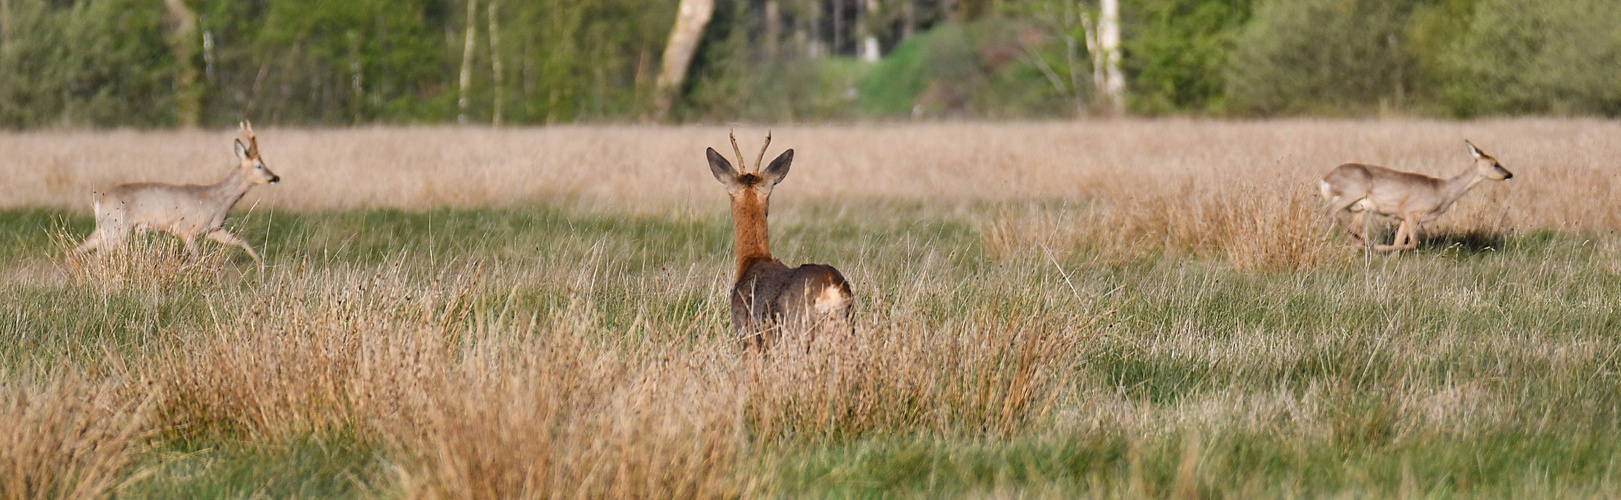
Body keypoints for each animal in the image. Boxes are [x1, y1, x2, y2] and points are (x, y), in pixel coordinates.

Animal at [70, 120, 282, 267]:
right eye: (259, 165)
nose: (276, 177)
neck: (217, 200)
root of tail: (100, 201)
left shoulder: (213, 229)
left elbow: (241, 240)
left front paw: (262, 264)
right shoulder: (185, 228)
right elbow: (197, 256)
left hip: (105, 227)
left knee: (76, 251)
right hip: (117, 226)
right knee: (94, 258)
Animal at [1322, 139, 1510, 251]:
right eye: (1494, 163)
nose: (1509, 174)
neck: (1442, 191)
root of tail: (1326, 179)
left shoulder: (1404, 218)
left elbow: (1400, 242)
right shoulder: (1410, 211)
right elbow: (1413, 242)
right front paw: (1380, 247)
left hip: (1357, 209)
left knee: (1347, 228)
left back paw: (1363, 244)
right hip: (1350, 194)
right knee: (1330, 212)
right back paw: (1367, 242)